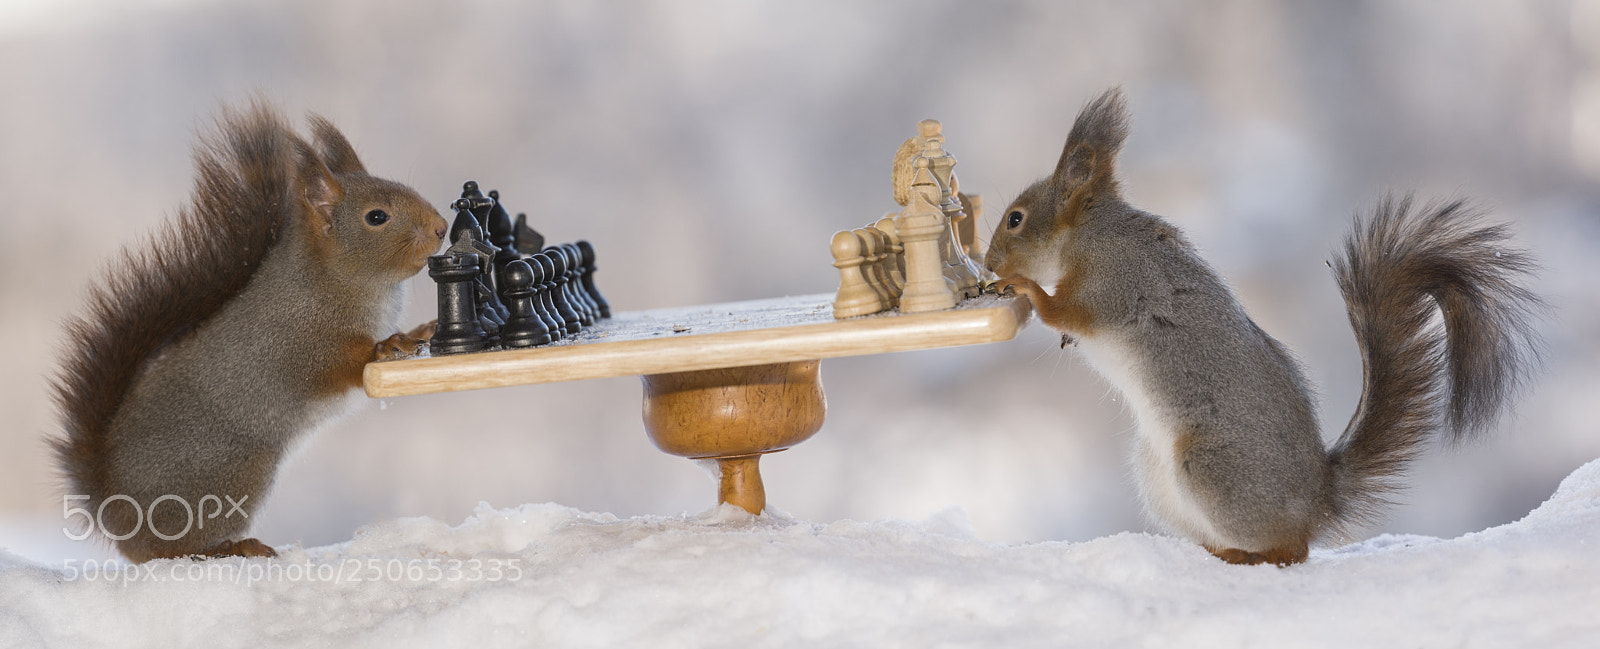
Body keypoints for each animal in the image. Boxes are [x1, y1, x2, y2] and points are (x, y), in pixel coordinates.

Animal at [50, 101, 447, 562]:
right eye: (377, 217)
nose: (441, 228)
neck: (337, 279)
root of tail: (113, 511)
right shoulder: (302, 341)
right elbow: (339, 366)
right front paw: (388, 345)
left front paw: (420, 331)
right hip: (235, 473)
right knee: (169, 550)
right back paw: (232, 546)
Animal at [986, 88, 1544, 566]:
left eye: (1015, 218)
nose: (989, 263)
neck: (1090, 233)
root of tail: (1318, 502)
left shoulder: (1115, 280)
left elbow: (1066, 310)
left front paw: (1023, 287)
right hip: (1160, 478)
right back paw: (1215, 552)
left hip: (1213, 468)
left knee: (1291, 548)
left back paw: (1250, 555)